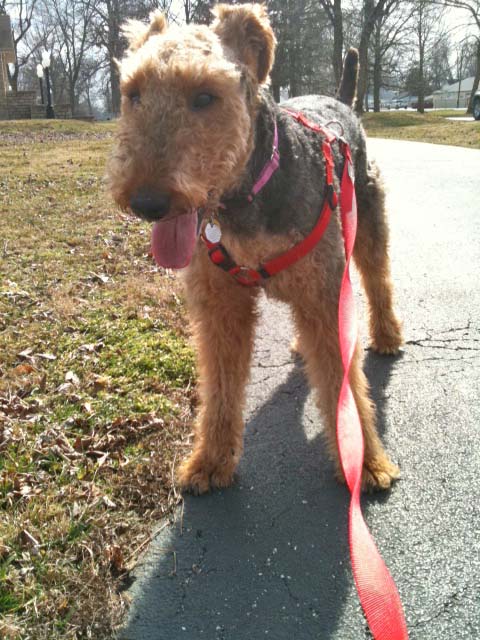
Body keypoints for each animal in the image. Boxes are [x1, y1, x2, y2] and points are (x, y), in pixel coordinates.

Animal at [107, 2, 404, 496]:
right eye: (133, 94)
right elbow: (221, 386)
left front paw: (365, 462)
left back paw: (387, 336)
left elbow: (344, 383)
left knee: (379, 280)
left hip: (367, 227)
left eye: (205, 96)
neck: (248, 194)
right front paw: (210, 460)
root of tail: (341, 101)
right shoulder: (220, 305)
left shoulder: (326, 296)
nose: (147, 203)